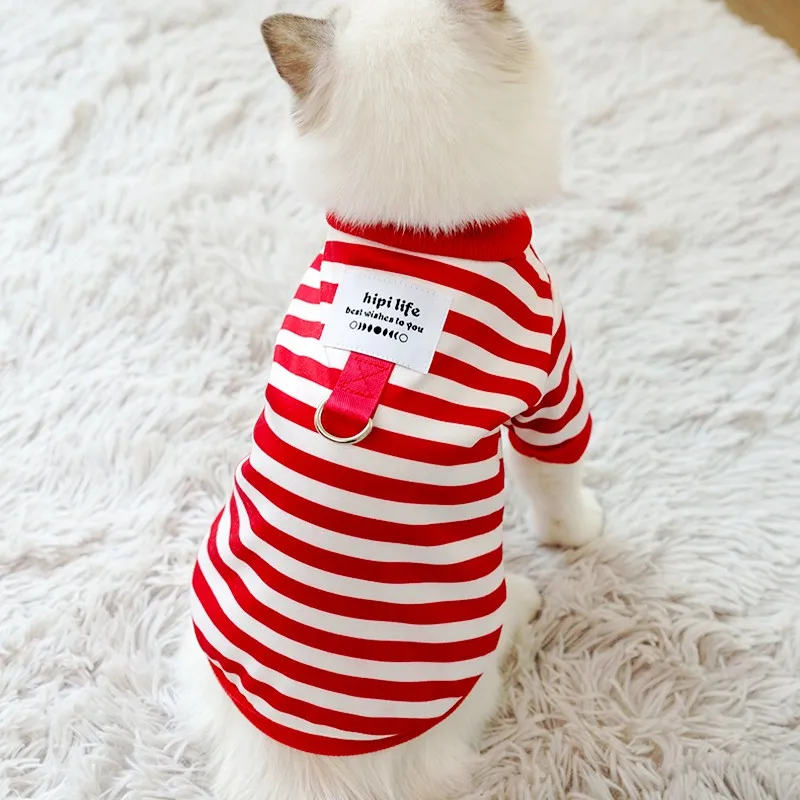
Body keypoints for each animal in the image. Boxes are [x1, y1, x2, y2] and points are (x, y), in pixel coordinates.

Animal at [176, 2, 603, 799]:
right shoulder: (550, 379)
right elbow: (556, 478)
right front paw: (580, 531)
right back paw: (524, 601)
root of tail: (295, 763)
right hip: (469, 671)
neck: (413, 240)